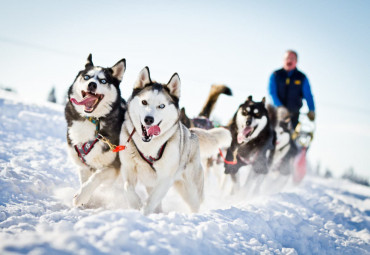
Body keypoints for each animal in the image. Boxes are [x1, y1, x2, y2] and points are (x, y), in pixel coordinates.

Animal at [64, 54, 126, 207]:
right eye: (87, 77)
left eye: (103, 80)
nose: (92, 84)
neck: (92, 120)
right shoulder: (83, 165)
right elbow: (85, 181)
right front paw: (86, 201)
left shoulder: (113, 166)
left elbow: (96, 177)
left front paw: (81, 197)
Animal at [118, 66, 230, 214]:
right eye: (144, 102)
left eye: (161, 106)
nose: (149, 119)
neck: (148, 146)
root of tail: (190, 131)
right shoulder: (128, 169)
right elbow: (127, 188)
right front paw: (136, 204)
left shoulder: (164, 179)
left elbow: (151, 201)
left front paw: (143, 212)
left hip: (191, 191)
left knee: (195, 205)